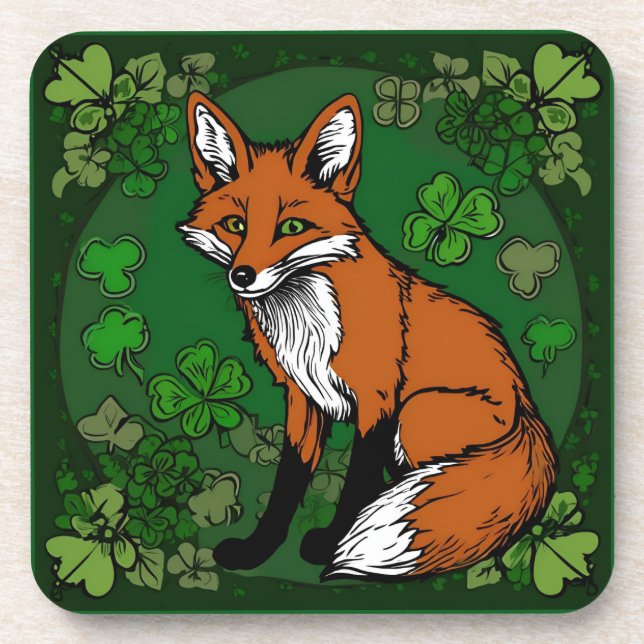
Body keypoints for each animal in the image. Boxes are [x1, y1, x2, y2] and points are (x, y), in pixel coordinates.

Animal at [178, 90, 557, 580]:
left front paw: (330, 544)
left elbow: (358, 480)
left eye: (291, 228)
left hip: (417, 415)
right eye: (235, 225)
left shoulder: (379, 401)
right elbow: (287, 484)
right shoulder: (302, 401)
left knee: (426, 477)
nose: (243, 276)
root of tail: (529, 409)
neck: (307, 321)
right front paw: (257, 551)